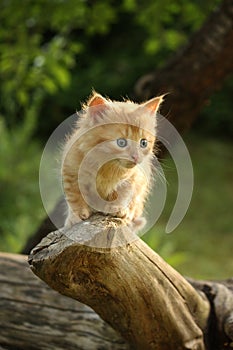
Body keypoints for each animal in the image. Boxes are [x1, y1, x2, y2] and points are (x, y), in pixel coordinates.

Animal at [62, 91, 164, 231]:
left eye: (143, 143)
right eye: (121, 142)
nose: (136, 157)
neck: (106, 165)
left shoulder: (133, 177)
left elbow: (123, 193)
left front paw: (116, 208)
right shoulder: (70, 171)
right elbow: (74, 196)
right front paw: (77, 215)